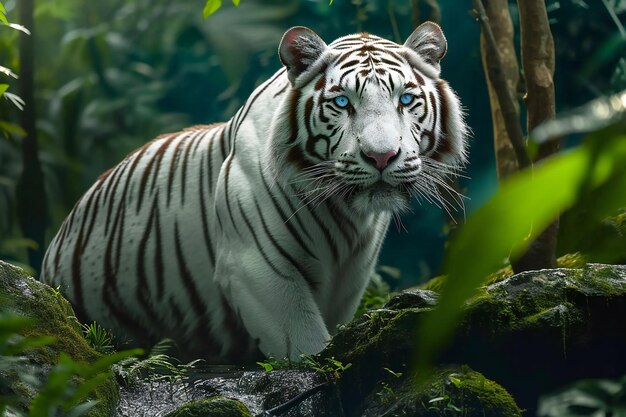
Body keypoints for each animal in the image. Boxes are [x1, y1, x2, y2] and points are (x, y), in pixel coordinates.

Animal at [41, 22, 466, 360]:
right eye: (342, 102)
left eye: (405, 99)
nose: (381, 156)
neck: (347, 214)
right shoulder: (257, 268)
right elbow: (308, 350)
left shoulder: (351, 278)